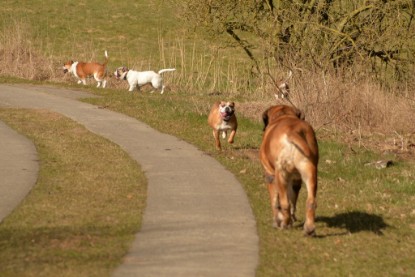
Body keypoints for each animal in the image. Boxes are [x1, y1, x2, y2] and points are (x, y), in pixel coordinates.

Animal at [260, 104, 322, 234]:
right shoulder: (295, 180)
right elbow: (293, 198)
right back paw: (309, 228)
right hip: (309, 173)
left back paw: (284, 224)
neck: (283, 115)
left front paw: (277, 220)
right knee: (310, 202)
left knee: (284, 203)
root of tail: (293, 131)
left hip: (280, 175)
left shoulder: (270, 175)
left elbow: (275, 202)